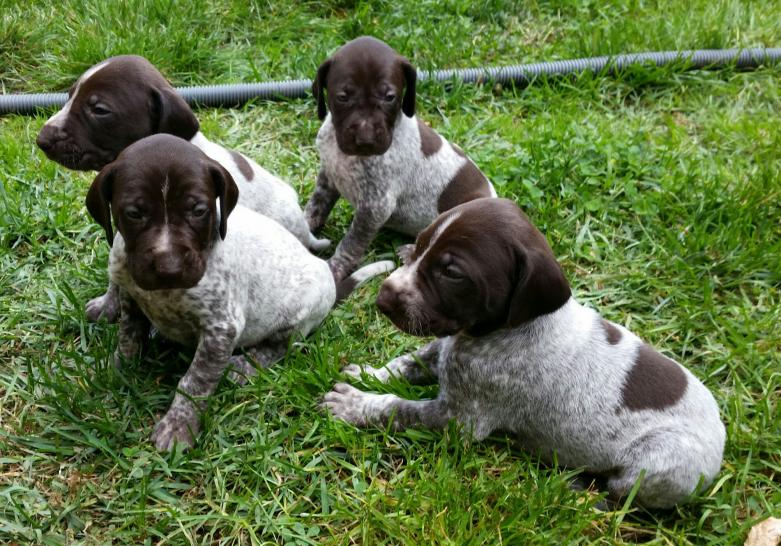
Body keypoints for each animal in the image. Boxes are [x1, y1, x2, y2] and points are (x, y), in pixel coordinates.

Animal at [86, 134, 394, 448]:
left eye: (199, 211)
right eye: (134, 213)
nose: (169, 267)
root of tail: (330, 280)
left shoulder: (221, 328)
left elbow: (194, 381)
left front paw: (178, 426)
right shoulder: (131, 297)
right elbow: (129, 337)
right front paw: (119, 370)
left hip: (300, 314)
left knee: (279, 348)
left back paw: (243, 366)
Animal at [304, 36, 494, 280]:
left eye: (389, 97)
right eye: (343, 97)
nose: (366, 139)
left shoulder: (376, 206)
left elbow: (350, 244)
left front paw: (335, 269)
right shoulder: (328, 177)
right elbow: (315, 208)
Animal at [320, 198, 724, 508]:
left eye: (452, 273)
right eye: (417, 246)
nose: (383, 298)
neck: (503, 331)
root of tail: (721, 437)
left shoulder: (460, 420)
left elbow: (397, 408)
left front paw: (356, 404)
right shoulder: (443, 350)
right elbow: (404, 363)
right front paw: (369, 374)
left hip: (651, 467)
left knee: (620, 497)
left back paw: (579, 490)